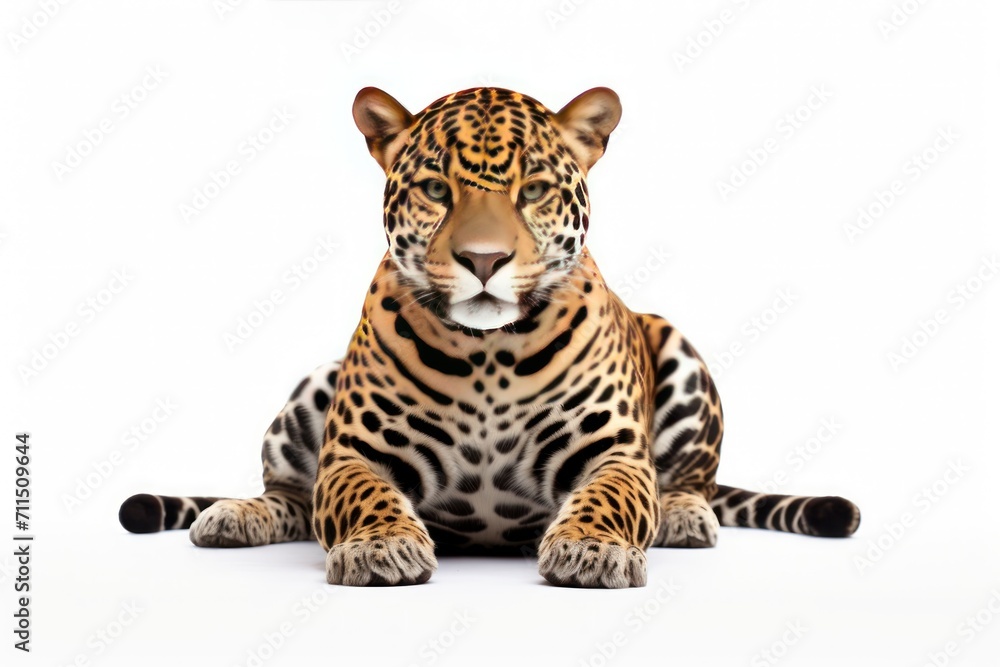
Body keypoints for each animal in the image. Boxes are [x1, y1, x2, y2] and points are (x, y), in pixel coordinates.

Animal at [119, 86, 860, 588]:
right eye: (434, 189)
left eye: (532, 190)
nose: (483, 259)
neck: (489, 357)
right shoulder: (353, 453)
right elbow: (357, 494)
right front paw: (379, 546)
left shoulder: (615, 452)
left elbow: (614, 494)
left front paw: (592, 549)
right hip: (314, 385)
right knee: (291, 498)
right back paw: (232, 516)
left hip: (681, 352)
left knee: (693, 479)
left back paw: (683, 513)